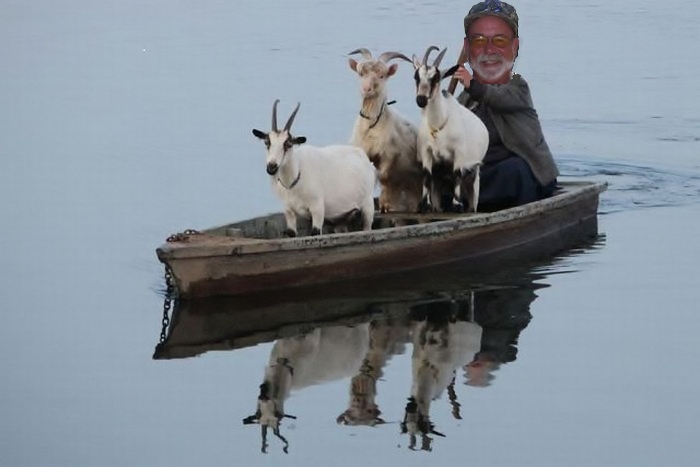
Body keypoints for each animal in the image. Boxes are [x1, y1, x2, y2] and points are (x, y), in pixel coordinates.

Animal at [252, 100, 376, 236]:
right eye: (267, 142)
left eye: (288, 144)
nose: (272, 167)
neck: (296, 177)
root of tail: (364, 158)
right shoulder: (289, 212)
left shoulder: (317, 209)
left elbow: (315, 232)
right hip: (341, 218)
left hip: (367, 206)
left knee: (367, 226)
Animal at [348, 48, 423, 213]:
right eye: (360, 73)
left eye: (382, 76)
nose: (366, 89)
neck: (371, 126)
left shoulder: (389, 155)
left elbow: (384, 177)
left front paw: (386, 204)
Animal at [410, 46, 489, 213]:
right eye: (416, 77)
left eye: (436, 78)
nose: (421, 99)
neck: (438, 125)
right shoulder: (427, 152)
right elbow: (426, 176)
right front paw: (423, 205)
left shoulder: (459, 153)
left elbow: (456, 175)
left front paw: (457, 204)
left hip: (474, 176)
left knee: (472, 200)